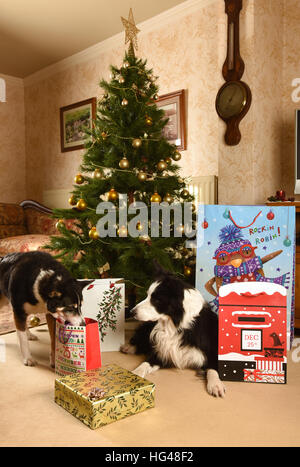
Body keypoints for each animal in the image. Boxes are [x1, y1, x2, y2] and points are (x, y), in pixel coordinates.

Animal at [119, 264, 225, 398]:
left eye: (156, 300)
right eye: (147, 295)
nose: (132, 312)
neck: (175, 326)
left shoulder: (212, 352)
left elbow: (213, 369)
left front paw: (216, 384)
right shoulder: (161, 352)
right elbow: (144, 364)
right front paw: (135, 374)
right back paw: (129, 347)